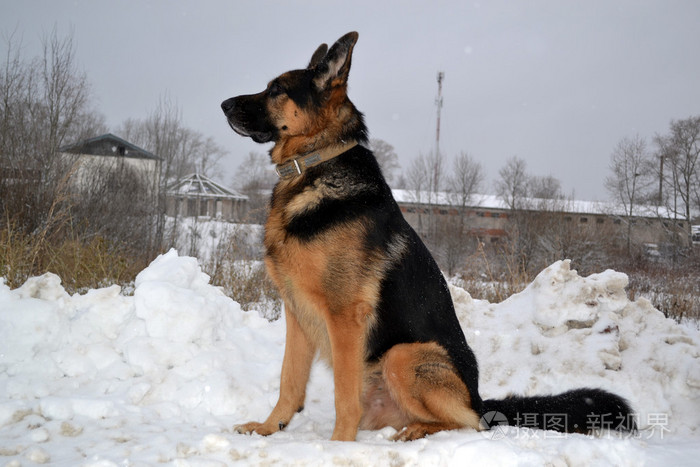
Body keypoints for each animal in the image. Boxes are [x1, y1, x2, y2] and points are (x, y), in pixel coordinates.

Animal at [221, 31, 636, 440]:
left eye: (277, 89)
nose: (223, 104)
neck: (316, 162)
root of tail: (480, 400)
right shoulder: (296, 314)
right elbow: (289, 379)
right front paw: (268, 427)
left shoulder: (345, 318)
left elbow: (343, 395)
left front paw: (338, 445)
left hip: (403, 355)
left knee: (468, 423)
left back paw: (417, 429)